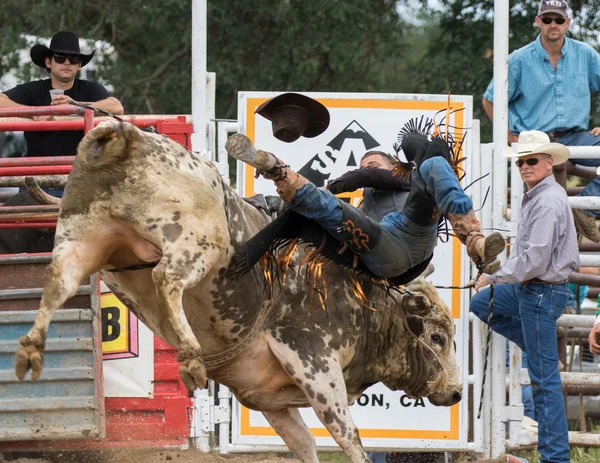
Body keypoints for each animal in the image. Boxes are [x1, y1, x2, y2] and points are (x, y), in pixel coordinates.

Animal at [15, 121, 464, 462]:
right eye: (437, 337)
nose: (457, 392)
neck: (361, 301)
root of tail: (130, 137)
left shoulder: (269, 401)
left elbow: (305, 444)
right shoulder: (314, 363)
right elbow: (348, 438)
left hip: (85, 238)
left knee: (58, 281)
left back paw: (30, 350)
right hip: (199, 240)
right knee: (167, 278)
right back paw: (191, 357)